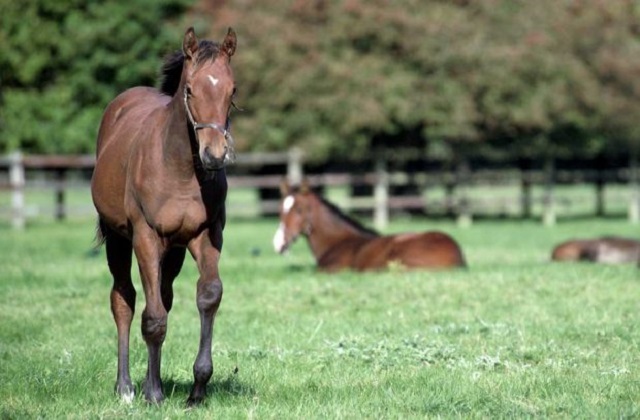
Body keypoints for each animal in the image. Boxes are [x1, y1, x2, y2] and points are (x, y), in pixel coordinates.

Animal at [90, 27, 238, 406]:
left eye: (232, 90)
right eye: (190, 89)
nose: (214, 155)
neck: (181, 169)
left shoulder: (207, 234)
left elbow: (209, 295)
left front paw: (198, 389)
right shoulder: (145, 236)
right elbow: (152, 317)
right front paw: (154, 393)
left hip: (175, 250)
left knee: (164, 296)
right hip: (119, 239)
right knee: (124, 300)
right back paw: (127, 387)